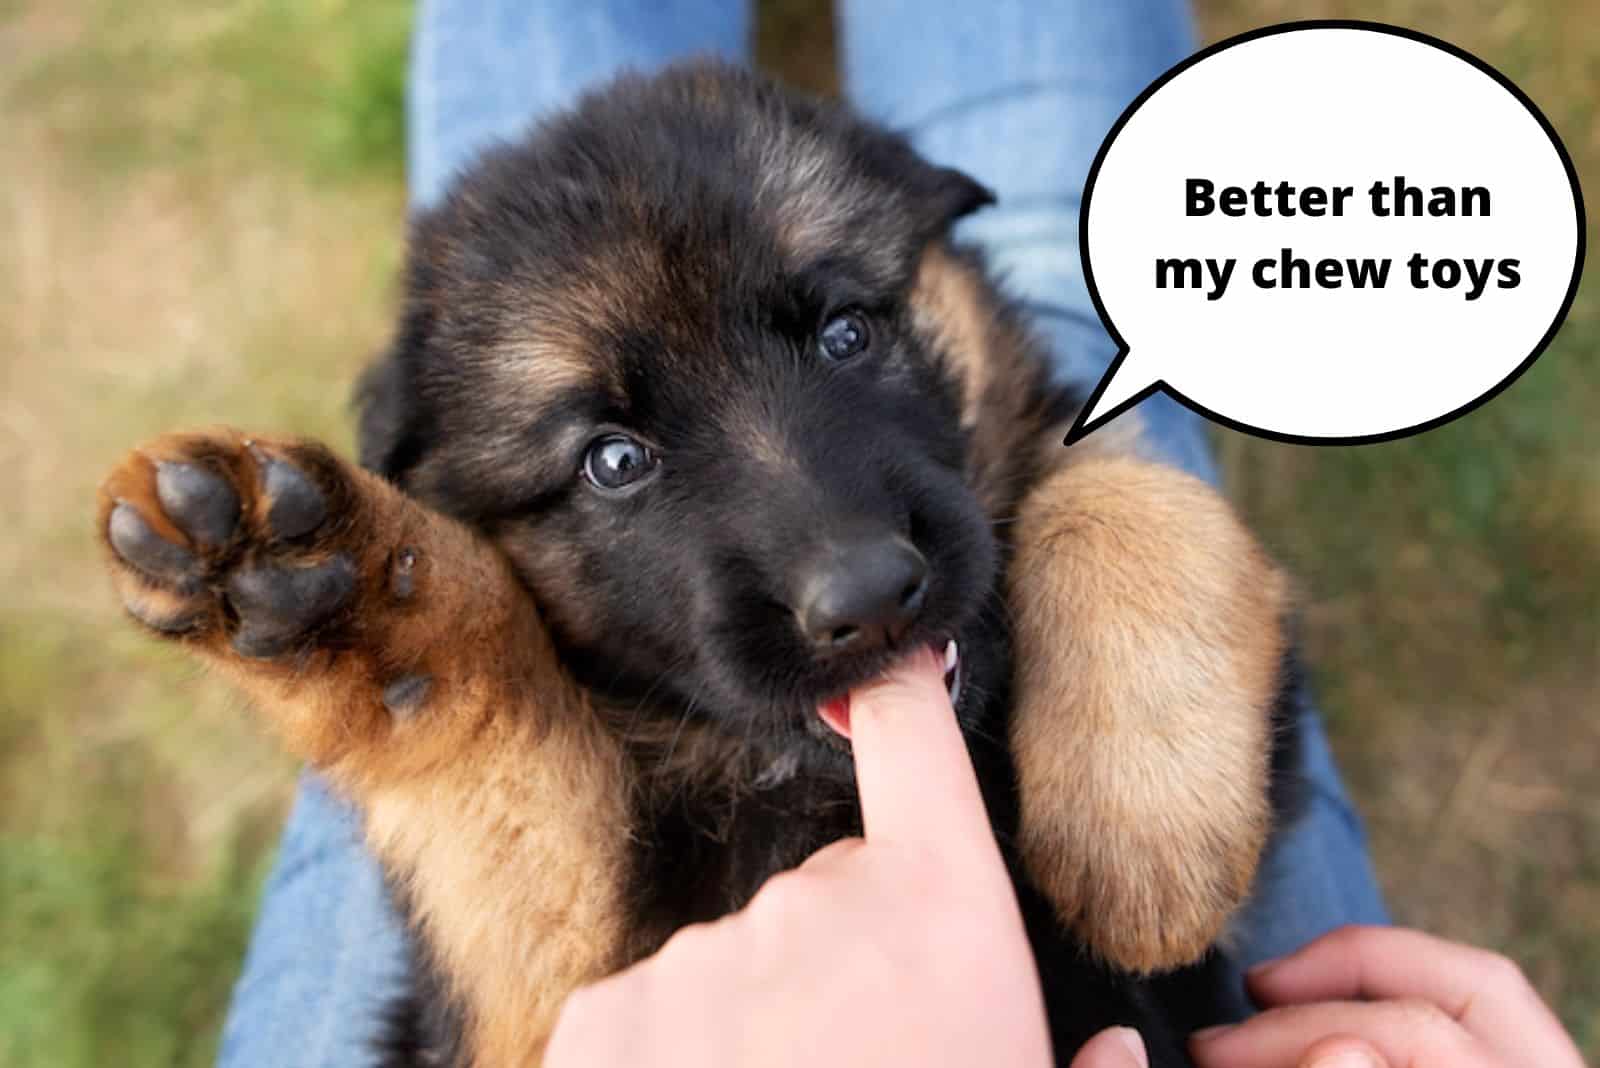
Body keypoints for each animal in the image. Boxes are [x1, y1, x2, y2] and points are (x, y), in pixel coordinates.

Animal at [96, 60, 1299, 1068]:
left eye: (847, 333)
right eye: (614, 461)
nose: (871, 598)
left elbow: (1119, 491)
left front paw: (1141, 829)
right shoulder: (541, 997)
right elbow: (505, 760)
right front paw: (337, 594)